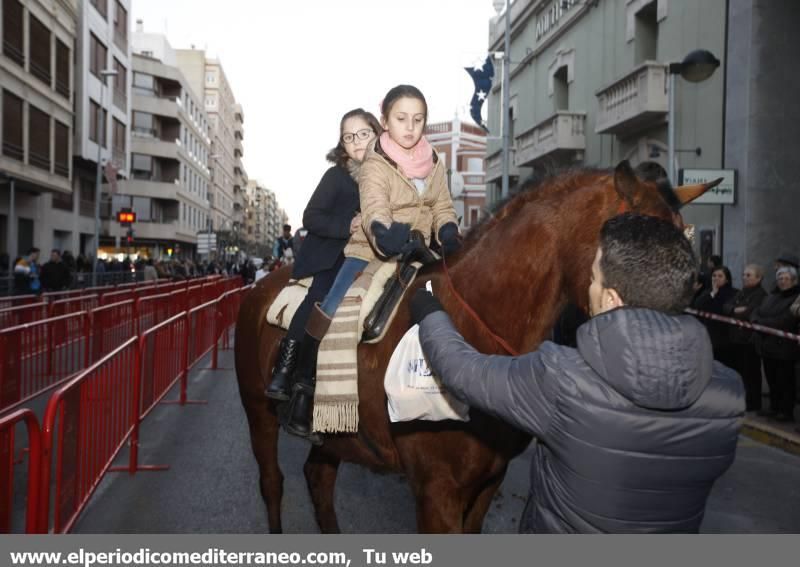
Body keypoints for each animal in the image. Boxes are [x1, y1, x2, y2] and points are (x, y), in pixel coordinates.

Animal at [234, 162, 716, 536]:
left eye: (693, 272)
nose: (670, 359)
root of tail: (263, 284)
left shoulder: (487, 482)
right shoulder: (437, 491)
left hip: (335, 433)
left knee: (317, 477)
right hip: (258, 410)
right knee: (272, 481)